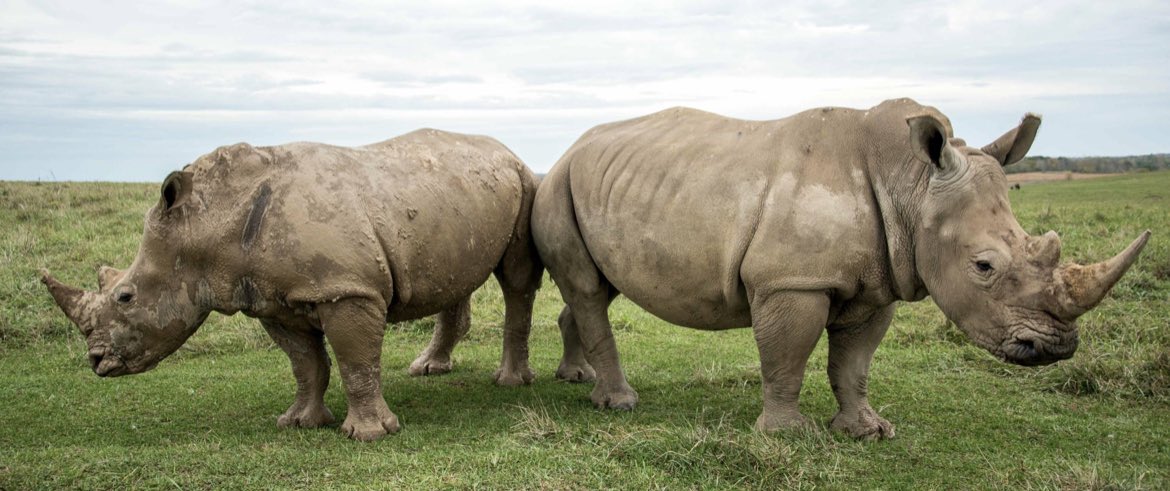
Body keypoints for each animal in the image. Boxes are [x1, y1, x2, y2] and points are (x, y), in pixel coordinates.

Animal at [42, 129, 542, 441]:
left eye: (126, 297)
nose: (97, 362)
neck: (208, 224)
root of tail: (505, 150)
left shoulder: (346, 287)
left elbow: (356, 361)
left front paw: (369, 435)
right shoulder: (269, 300)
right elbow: (305, 363)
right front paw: (299, 423)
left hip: (523, 183)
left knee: (516, 281)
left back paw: (509, 383)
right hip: (457, 196)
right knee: (456, 278)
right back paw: (427, 369)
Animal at [531, 98, 1151, 439]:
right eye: (983, 266)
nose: (1055, 348)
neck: (912, 184)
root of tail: (567, 149)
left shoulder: (879, 283)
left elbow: (854, 363)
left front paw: (868, 432)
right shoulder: (792, 281)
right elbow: (787, 357)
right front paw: (787, 435)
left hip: (598, 186)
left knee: (599, 289)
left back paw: (576, 378)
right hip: (557, 185)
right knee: (588, 290)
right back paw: (619, 403)